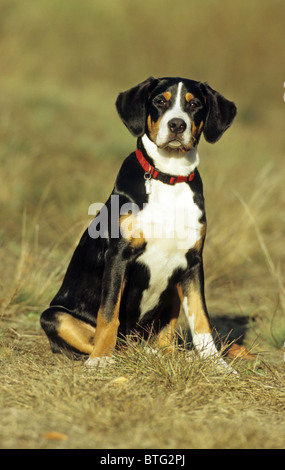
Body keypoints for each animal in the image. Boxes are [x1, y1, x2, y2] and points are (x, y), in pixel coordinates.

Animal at [39, 77, 235, 370]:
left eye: (195, 104)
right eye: (160, 101)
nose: (177, 125)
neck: (168, 178)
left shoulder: (192, 261)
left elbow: (201, 320)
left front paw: (218, 365)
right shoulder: (119, 256)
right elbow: (108, 314)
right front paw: (100, 359)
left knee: (162, 339)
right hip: (54, 315)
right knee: (104, 339)